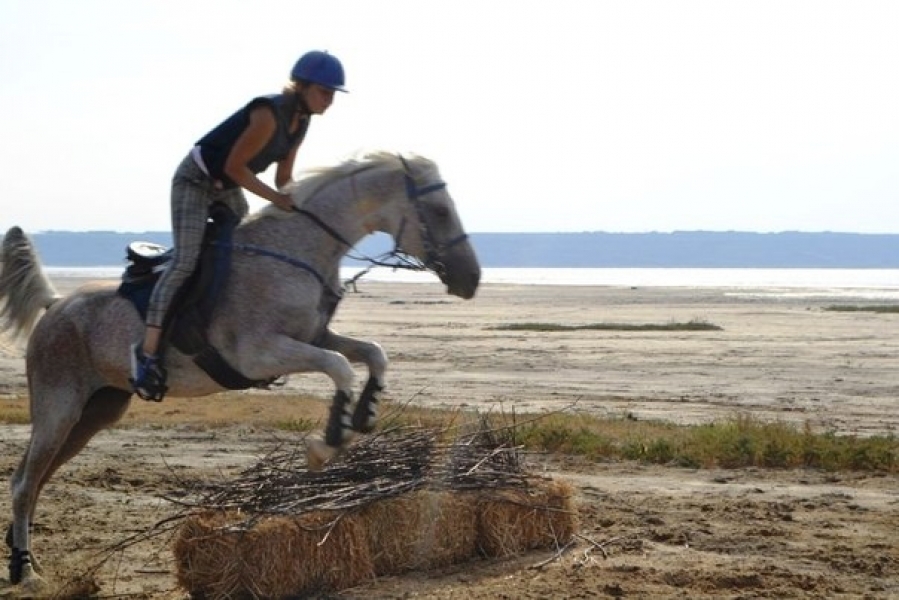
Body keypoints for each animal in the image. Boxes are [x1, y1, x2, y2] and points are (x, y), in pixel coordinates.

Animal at [0, 150, 482, 592]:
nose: (472, 279)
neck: (296, 251)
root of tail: (55, 305)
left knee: (38, 477)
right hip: (60, 408)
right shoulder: (259, 353)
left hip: (96, 412)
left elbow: (372, 353)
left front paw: (363, 414)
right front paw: (326, 442)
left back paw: (25, 556)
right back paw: (25, 570)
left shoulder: (315, 336)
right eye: (440, 210)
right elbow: (341, 366)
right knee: (24, 481)